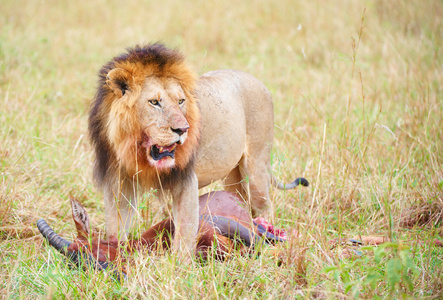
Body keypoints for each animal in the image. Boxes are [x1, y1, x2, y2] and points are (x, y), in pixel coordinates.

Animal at [87, 43, 308, 254]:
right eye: (154, 102)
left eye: (180, 101)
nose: (183, 129)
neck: (136, 149)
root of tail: (259, 82)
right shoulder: (118, 181)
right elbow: (116, 225)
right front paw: (116, 251)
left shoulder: (186, 180)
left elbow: (184, 232)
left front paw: (179, 265)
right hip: (232, 175)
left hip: (256, 167)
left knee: (265, 206)